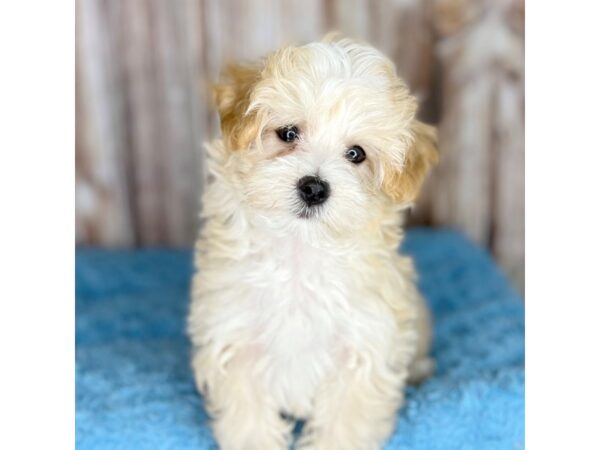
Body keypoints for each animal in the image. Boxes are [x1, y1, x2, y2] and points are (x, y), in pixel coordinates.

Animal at [190, 36, 438, 450]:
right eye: (288, 133)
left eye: (356, 154)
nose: (314, 188)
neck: (299, 252)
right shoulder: (235, 340)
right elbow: (250, 421)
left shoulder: (363, 351)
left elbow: (343, 425)